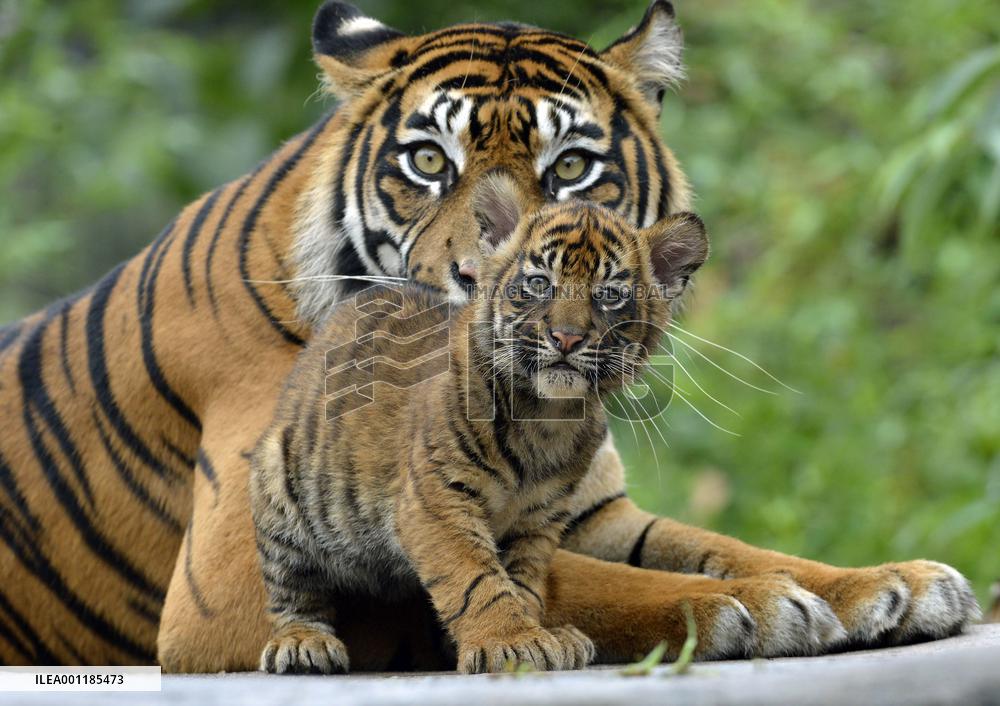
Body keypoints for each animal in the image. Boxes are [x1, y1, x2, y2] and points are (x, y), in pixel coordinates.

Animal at [250, 196, 715, 674]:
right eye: (538, 283)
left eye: (609, 294)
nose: (566, 337)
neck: (548, 417)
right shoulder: (437, 500)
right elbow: (474, 577)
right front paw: (510, 642)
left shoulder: (539, 518)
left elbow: (521, 582)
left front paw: (539, 636)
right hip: (280, 487)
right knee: (293, 590)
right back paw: (303, 643)